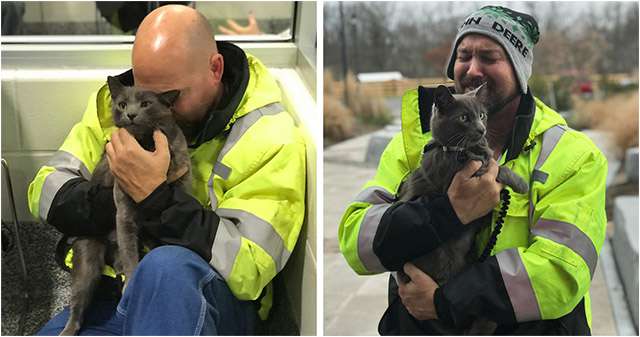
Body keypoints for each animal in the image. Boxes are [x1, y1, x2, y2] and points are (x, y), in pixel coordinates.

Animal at [59, 77, 191, 334]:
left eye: (146, 104)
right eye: (121, 104)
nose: (130, 114)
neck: (146, 144)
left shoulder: (182, 173)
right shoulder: (123, 210)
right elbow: (131, 252)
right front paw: (131, 280)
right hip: (88, 254)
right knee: (79, 303)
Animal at [398, 84, 528, 334]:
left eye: (482, 115)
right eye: (464, 118)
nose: (481, 129)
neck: (459, 150)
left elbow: (495, 164)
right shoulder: (460, 175)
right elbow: (497, 168)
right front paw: (521, 183)